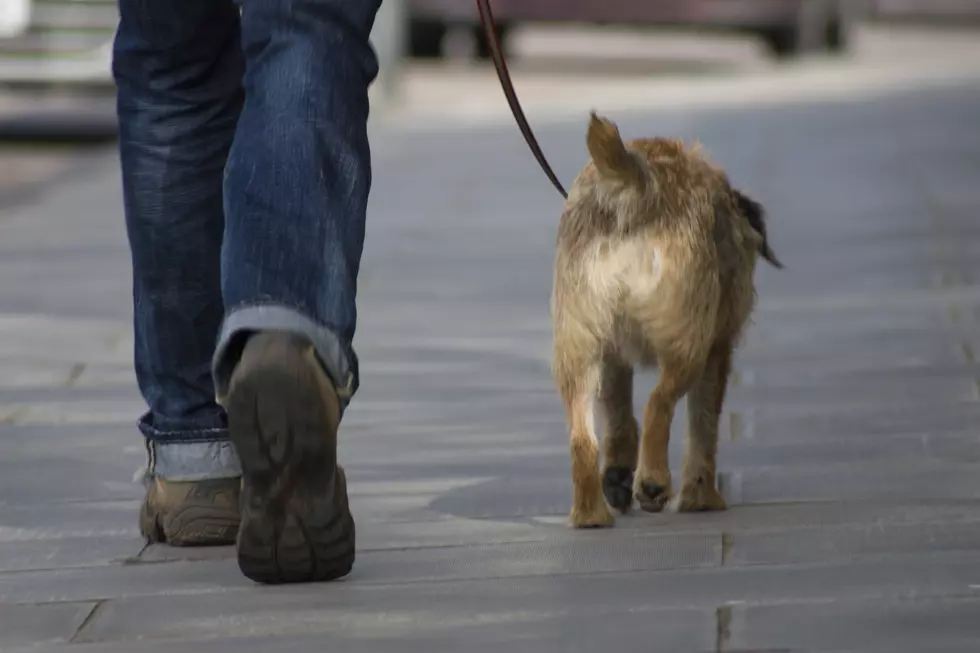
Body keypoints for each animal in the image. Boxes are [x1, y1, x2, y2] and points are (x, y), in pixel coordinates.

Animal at [552, 112, 780, 528]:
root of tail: (637, 184)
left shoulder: (613, 355)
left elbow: (618, 413)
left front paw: (618, 472)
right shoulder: (717, 350)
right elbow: (703, 425)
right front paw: (701, 496)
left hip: (578, 347)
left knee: (582, 436)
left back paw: (591, 512)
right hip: (689, 344)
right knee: (660, 402)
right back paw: (653, 480)